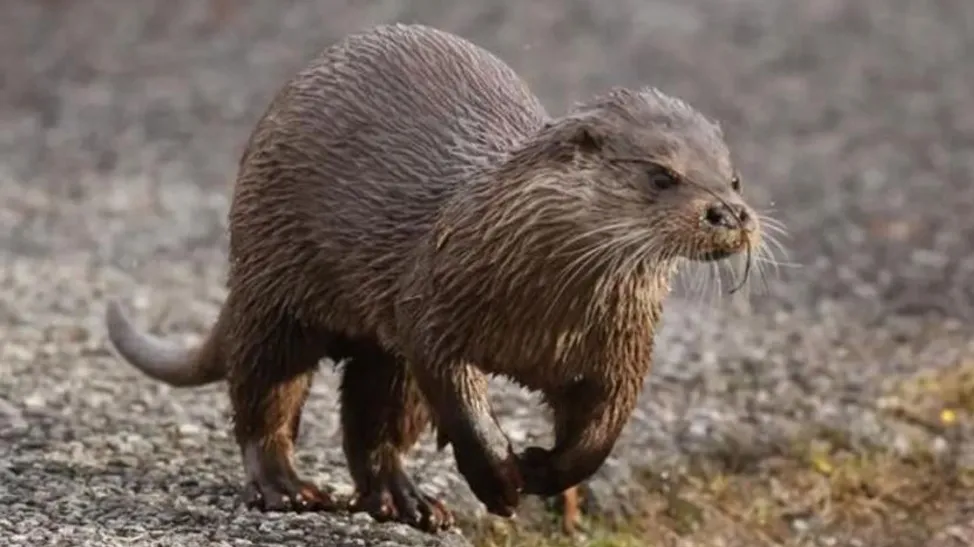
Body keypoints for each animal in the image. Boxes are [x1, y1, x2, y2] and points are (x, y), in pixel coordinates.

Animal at [104, 23, 764, 533]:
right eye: (662, 175)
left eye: (733, 178)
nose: (730, 213)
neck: (546, 313)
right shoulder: (434, 304)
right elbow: (458, 396)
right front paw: (498, 477)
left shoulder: (621, 350)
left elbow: (599, 433)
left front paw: (540, 468)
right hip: (275, 286)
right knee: (265, 391)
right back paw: (286, 488)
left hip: (376, 346)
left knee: (376, 416)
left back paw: (405, 501)